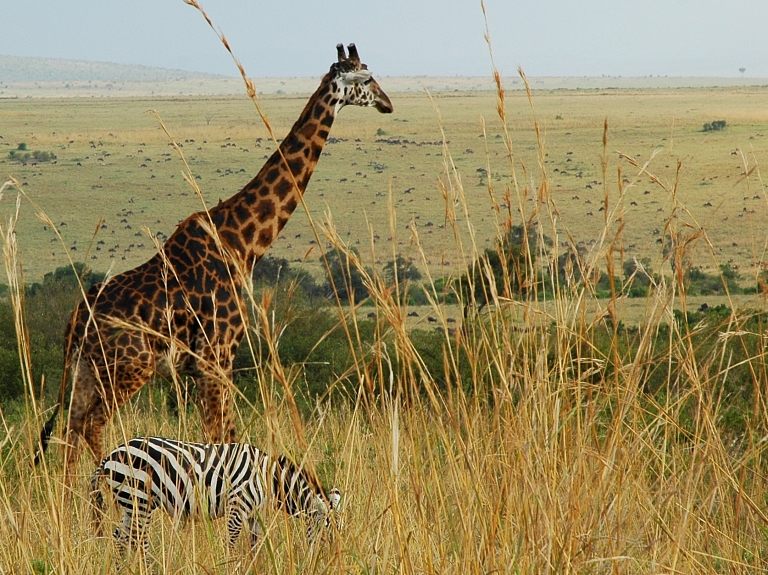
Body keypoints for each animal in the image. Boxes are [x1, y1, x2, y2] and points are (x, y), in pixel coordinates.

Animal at [33, 44, 392, 482]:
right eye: (368, 79)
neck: (243, 242)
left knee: (69, 430)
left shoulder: (208, 366)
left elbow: (222, 438)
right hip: (128, 368)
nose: (388, 103)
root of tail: (75, 321)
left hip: (87, 371)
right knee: (92, 425)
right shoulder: (218, 358)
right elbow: (221, 439)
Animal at [90, 438, 342, 560]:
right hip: (140, 498)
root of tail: (109, 455)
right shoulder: (237, 506)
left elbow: (255, 548)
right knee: (139, 541)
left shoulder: (255, 515)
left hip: (130, 504)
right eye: (328, 530)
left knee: (120, 538)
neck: (269, 480)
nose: (335, 560)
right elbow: (230, 545)